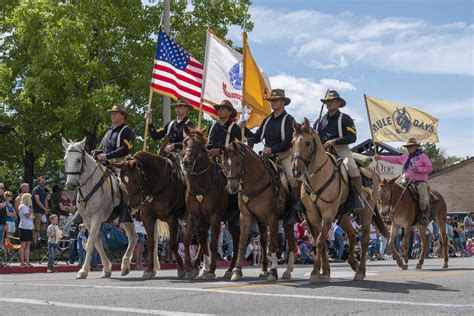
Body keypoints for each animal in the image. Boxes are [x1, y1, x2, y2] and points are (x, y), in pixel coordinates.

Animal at [63, 138, 137, 278]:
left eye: (78, 160)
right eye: (65, 160)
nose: (70, 185)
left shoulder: (96, 218)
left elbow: (90, 243)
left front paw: (83, 271)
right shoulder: (87, 220)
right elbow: (97, 243)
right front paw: (107, 268)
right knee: (133, 238)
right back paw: (126, 266)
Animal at [181, 126, 241, 278]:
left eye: (200, 146)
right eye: (184, 142)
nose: (186, 163)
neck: (200, 187)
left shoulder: (215, 217)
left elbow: (212, 244)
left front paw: (212, 270)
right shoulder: (194, 217)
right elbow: (188, 240)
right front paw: (190, 267)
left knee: (237, 241)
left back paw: (231, 270)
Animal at [220, 141, 294, 282]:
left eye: (237, 162)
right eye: (224, 163)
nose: (231, 188)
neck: (255, 183)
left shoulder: (272, 218)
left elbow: (273, 245)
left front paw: (273, 272)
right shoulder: (246, 216)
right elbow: (242, 242)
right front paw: (237, 271)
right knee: (267, 241)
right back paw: (270, 270)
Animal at [290, 118, 386, 282]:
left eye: (307, 143)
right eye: (292, 142)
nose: (296, 170)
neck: (318, 176)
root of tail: (373, 173)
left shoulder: (328, 214)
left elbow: (320, 241)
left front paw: (315, 272)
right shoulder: (313, 216)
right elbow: (320, 241)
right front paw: (325, 272)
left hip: (366, 211)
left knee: (364, 239)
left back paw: (360, 271)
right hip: (344, 215)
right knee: (353, 235)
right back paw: (353, 263)